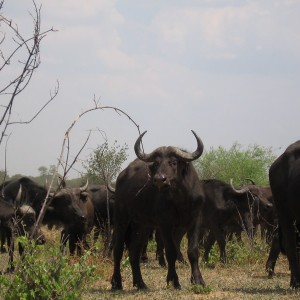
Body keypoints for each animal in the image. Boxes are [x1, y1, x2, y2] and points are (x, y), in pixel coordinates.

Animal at [110, 130, 206, 290]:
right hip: (121, 220)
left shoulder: (195, 221)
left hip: (141, 225)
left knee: (134, 251)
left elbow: (193, 250)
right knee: (118, 250)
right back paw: (116, 282)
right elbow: (171, 251)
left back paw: (140, 283)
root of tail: (121, 177)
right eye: (156, 163)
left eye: (173, 162)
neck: (180, 198)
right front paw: (173, 280)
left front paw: (198, 280)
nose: (160, 179)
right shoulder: (165, 224)